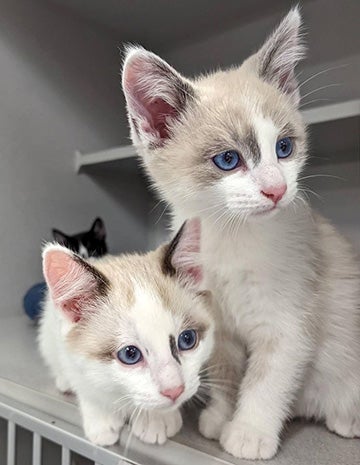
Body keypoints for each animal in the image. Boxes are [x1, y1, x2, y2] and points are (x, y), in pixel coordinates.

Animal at [38, 220, 215, 446]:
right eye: (130, 354)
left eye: (187, 339)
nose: (174, 390)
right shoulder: (69, 355)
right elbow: (88, 387)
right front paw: (101, 418)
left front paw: (155, 419)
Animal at [121, 7, 360, 460]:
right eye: (228, 160)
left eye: (284, 148)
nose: (276, 189)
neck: (234, 238)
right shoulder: (216, 319)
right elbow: (227, 368)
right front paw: (220, 416)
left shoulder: (290, 319)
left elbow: (268, 377)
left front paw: (249, 432)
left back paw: (348, 416)